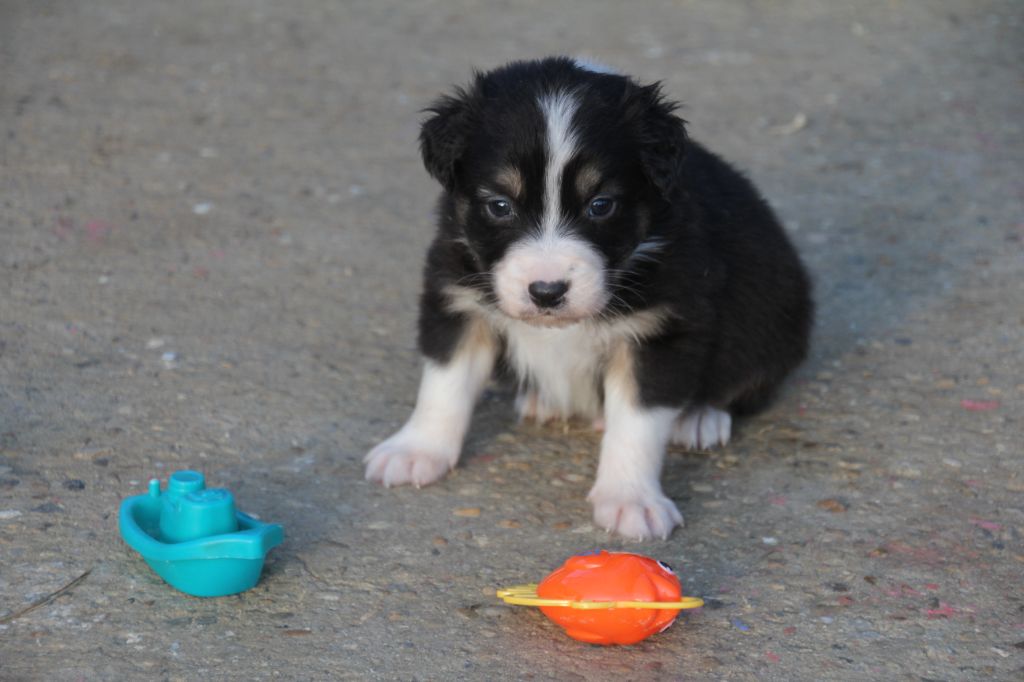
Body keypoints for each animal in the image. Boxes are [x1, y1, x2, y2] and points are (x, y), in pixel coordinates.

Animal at [364, 57, 811, 536]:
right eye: (500, 205)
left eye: (601, 205)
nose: (546, 292)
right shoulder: (458, 299)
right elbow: (444, 384)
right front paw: (416, 451)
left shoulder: (662, 331)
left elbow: (637, 422)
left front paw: (630, 500)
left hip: (775, 313)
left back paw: (698, 418)